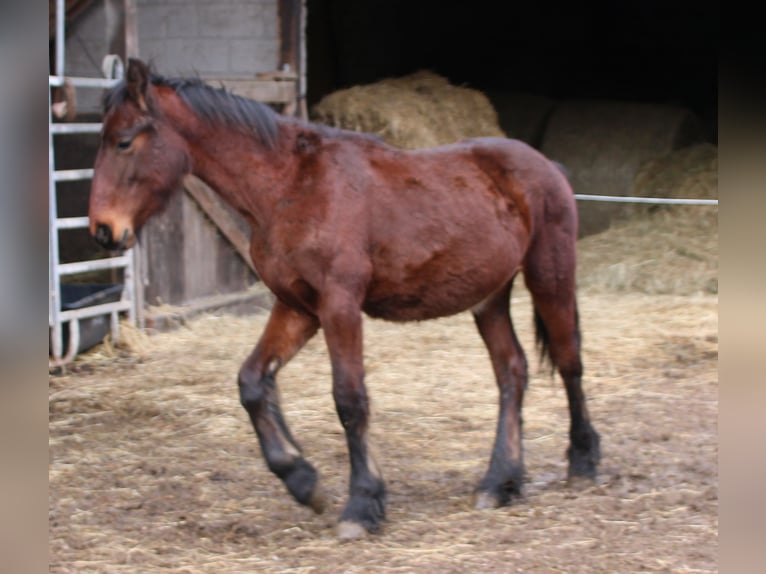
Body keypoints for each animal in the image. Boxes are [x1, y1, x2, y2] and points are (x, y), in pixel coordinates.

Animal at [90, 60, 604, 544]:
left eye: (124, 141)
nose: (103, 230)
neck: (291, 187)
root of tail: (549, 168)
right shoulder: (297, 307)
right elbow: (253, 383)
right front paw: (302, 479)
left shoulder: (340, 305)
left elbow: (350, 401)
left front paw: (362, 505)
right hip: (489, 298)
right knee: (512, 372)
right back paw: (500, 482)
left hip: (549, 275)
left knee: (568, 362)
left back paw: (583, 461)